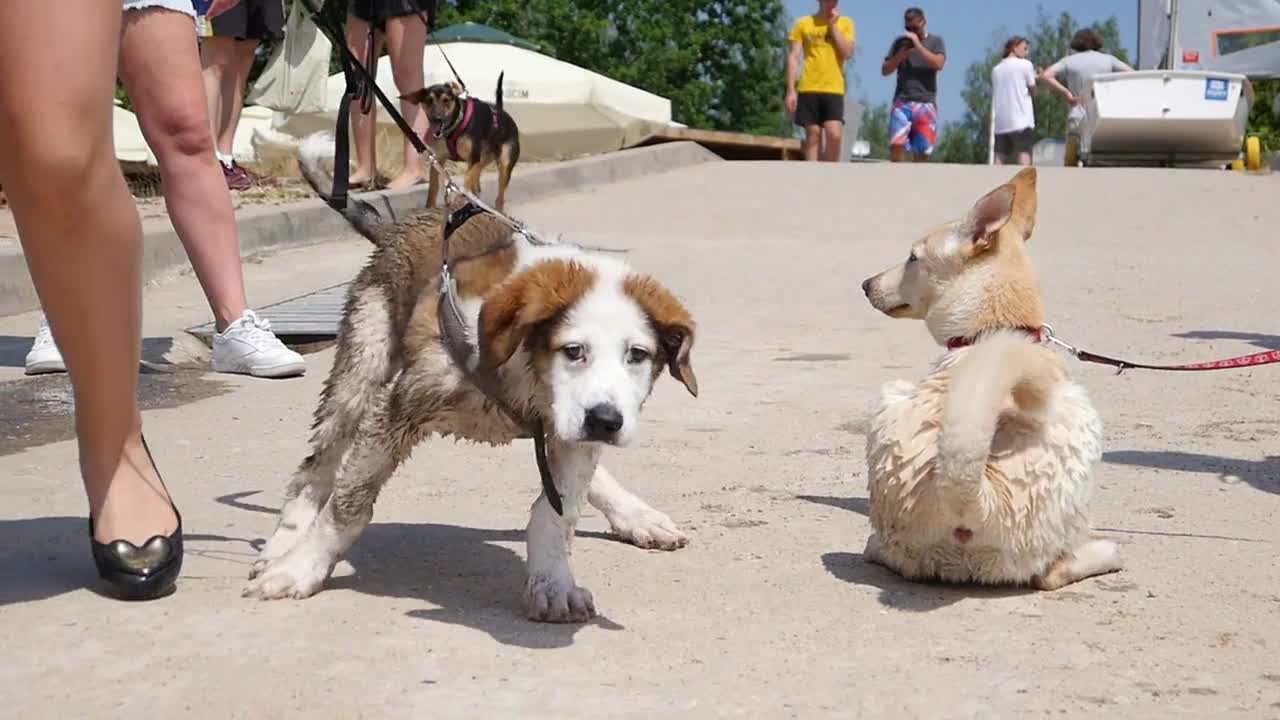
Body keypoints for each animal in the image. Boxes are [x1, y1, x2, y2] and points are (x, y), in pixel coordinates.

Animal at [241, 131, 701, 620]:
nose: (606, 421)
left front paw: (553, 581)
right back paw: (284, 545)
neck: (526, 369)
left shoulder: (568, 433)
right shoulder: (401, 405)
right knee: (317, 467)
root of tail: (400, 227)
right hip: (363, 363)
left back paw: (638, 516)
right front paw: (301, 568)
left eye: (638, 355)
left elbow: (556, 513)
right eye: (573, 351)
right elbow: (349, 503)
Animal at [399, 73, 519, 211]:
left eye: (446, 100)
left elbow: (466, 181)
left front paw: (459, 201)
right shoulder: (437, 160)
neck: (455, 126)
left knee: (500, 195)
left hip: (504, 162)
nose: (436, 118)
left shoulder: (473, 159)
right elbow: (433, 188)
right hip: (483, 160)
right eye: (429, 100)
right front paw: (430, 207)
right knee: (477, 180)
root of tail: (501, 111)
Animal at [860, 166, 1121, 589]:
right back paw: (1106, 552)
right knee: (1051, 574)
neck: (994, 329)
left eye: (913, 257)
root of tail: (976, 499)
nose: (866, 284)